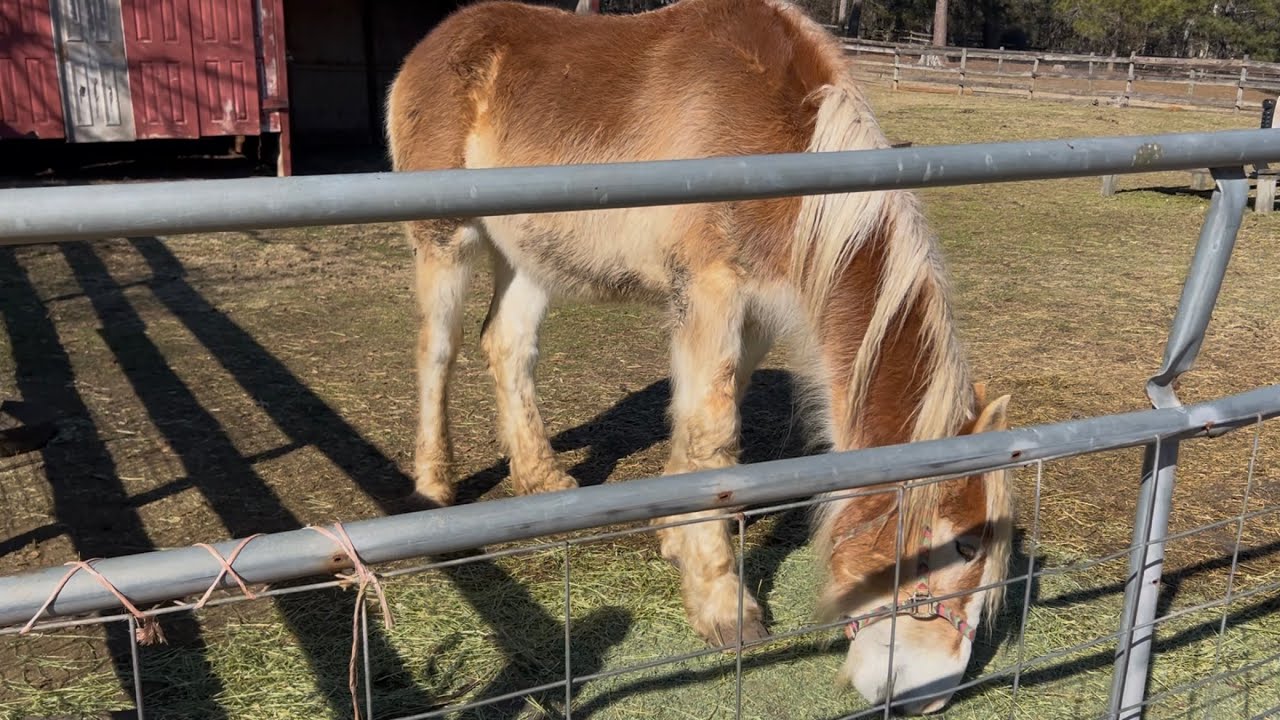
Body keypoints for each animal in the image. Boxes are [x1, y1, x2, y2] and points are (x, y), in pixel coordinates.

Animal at [385, 0, 1014, 713]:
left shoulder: (756, 314)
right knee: (438, 350)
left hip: (529, 255)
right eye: (962, 542)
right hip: (448, 241)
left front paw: (674, 536)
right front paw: (723, 607)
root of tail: (440, 41)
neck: (783, 148)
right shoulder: (711, 292)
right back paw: (435, 487)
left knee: (510, 345)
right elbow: (714, 434)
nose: (928, 694)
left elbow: (703, 422)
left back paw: (542, 479)